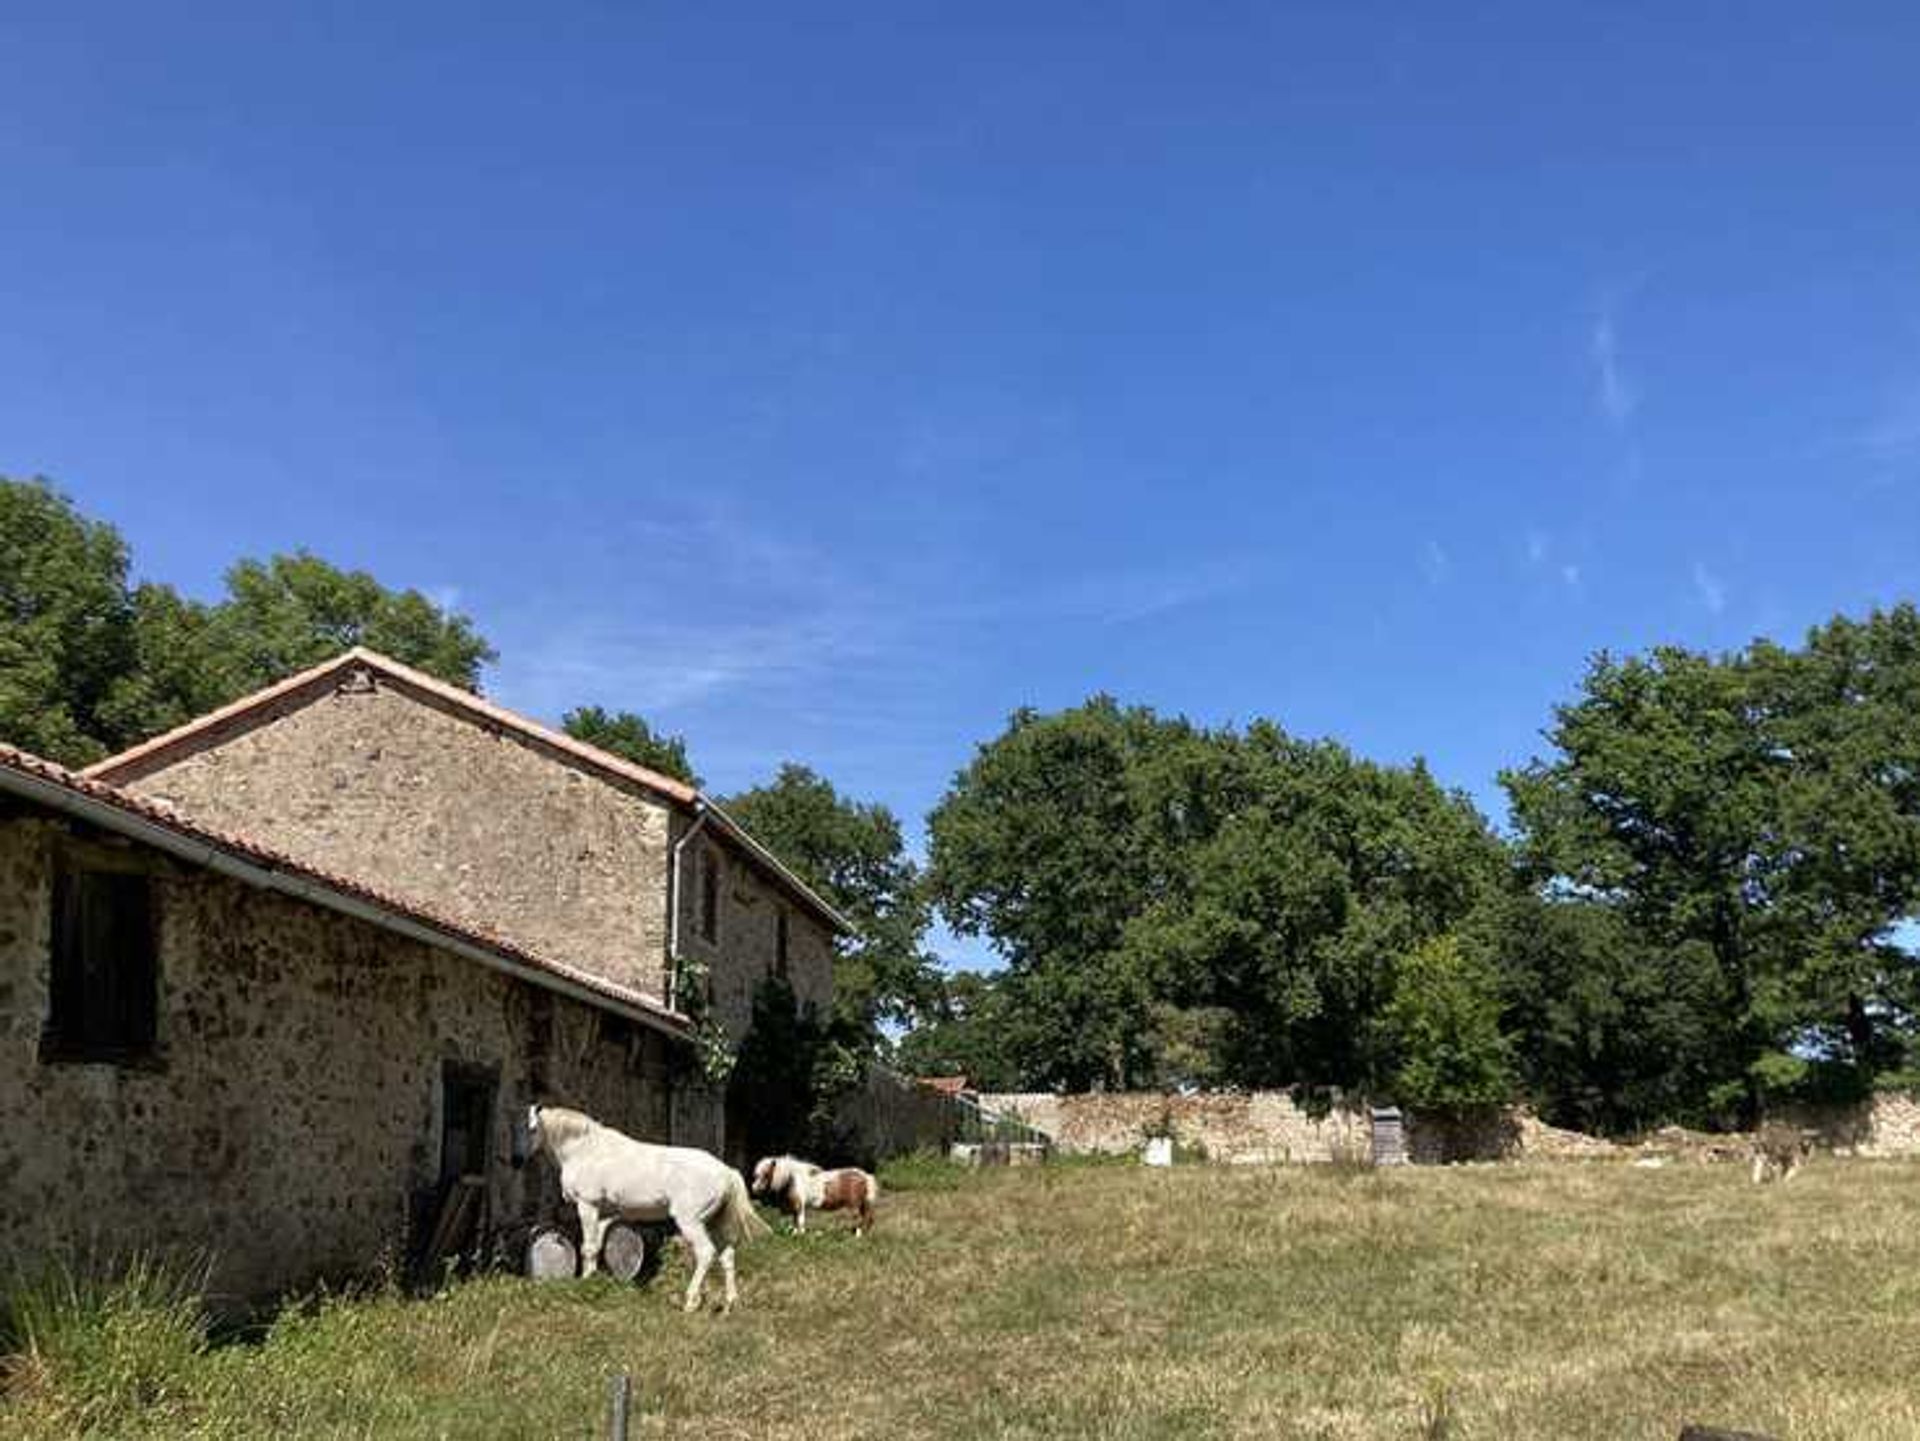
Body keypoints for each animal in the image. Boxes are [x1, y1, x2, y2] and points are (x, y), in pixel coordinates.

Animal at [526, 1105, 771, 1320]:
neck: (586, 1150)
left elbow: (586, 1248)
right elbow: (595, 1247)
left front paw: (585, 1282)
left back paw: (690, 1302)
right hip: (714, 1223)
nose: (520, 1160)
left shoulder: (587, 1206)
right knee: (727, 1256)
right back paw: (730, 1305)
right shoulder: (604, 1214)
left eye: (532, 1128)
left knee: (706, 1253)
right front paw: (593, 1278)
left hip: (690, 1222)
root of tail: (726, 1172)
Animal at [748, 1158, 879, 1235]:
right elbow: (795, 1220)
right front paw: (795, 1233)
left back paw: (856, 1235)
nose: (754, 1188)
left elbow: (800, 1220)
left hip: (854, 1205)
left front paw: (800, 1234)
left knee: (859, 1218)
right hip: (861, 1204)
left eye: (766, 1174)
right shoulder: (796, 1206)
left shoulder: (799, 1205)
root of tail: (865, 1176)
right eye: (757, 1175)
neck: (792, 1178)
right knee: (865, 1218)